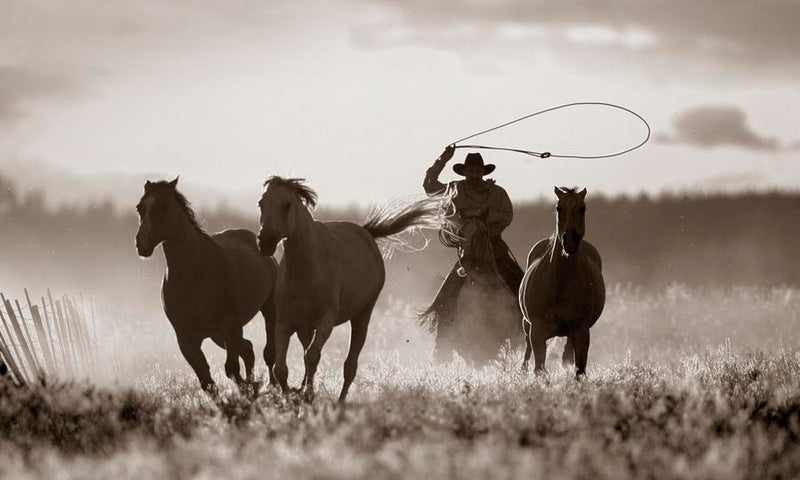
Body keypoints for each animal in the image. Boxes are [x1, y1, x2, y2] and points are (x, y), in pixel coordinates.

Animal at [135, 177, 278, 392]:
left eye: (164, 206)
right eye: (140, 207)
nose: (141, 243)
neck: (194, 273)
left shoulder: (229, 326)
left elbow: (231, 370)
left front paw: (248, 390)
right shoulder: (186, 338)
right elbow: (206, 380)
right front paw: (247, 389)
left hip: (264, 312)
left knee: (268, 352)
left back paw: (273, 386)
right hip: (218, 335)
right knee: (248, 349)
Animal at [256, 176, 440, 403]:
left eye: (287, 204)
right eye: (261, 203)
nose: (264, 242)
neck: (306, 268)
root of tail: (367, 233)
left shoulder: (325, 321)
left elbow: (312, 357)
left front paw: (307, 395)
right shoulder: (285, 322)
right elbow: (281, 368)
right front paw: (292, 396)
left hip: (362, 317)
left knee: (349, 365)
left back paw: (340, 402)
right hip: (305, 327)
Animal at [520, 187, 605, 377]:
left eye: (583, 208)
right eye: (559, 208)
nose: (570, 240)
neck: (559, 284)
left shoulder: (581, 332)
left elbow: (579, 369)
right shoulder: (537, 332)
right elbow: (539, 368)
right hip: (527, 326)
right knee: (527, 349)